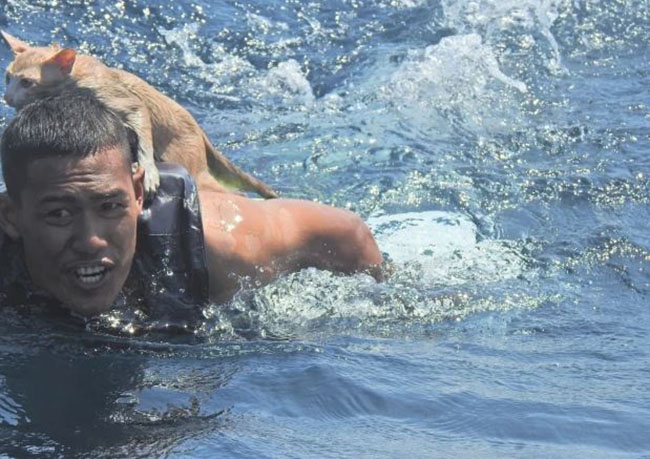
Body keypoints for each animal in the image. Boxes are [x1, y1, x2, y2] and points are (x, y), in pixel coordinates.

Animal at [1, 31, 278, 198]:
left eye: (27, 82)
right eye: (7, 78)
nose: (7, 98)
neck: (74, 77)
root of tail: (198, 128)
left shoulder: (116, 97)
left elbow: (139, 119)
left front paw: (149, 171)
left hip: (186, 159)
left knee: (232, 193)